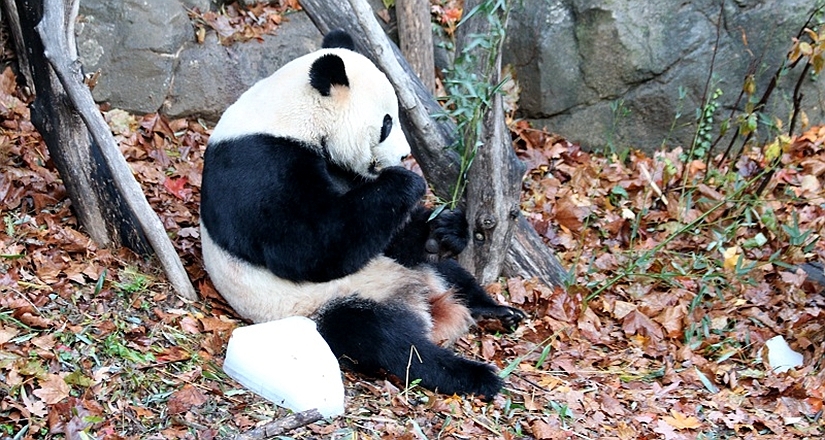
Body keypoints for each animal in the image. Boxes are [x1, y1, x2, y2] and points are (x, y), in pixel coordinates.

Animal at [198, 29, 528, 398]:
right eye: (386, 123)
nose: (404, 156)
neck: (291, 117)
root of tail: (427, 304)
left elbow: (379, 232)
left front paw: (444, 229)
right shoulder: (257, 165)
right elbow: (306, 247)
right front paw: (406, 182)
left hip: (413, 272)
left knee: (450, 273)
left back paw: (495, 310)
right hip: (326, 303)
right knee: (387, 339)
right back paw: (473, 374)